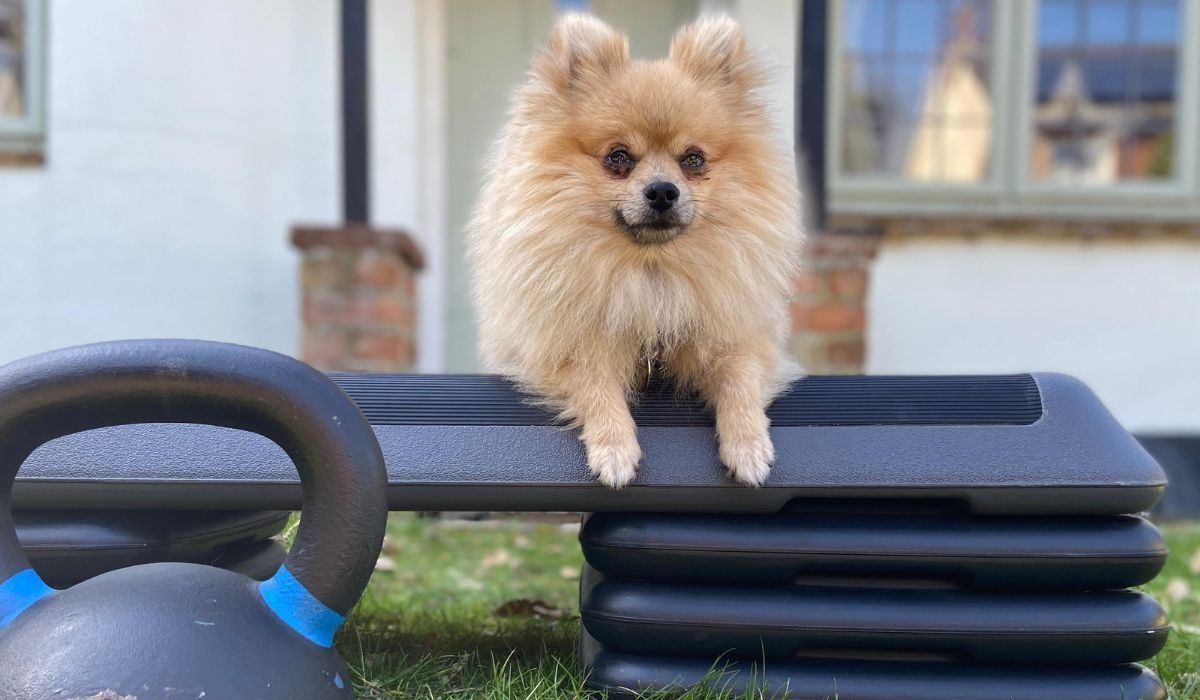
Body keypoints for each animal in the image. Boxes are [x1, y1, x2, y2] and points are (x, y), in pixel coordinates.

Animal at [468, 13, 806, 489]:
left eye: (693, 159)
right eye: (618, 157)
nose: (662, 190)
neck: (651, 271)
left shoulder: (737, 333)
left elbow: (739, 375)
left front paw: (748, 444)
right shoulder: (563, 347)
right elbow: (595, 384)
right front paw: (614, 447)